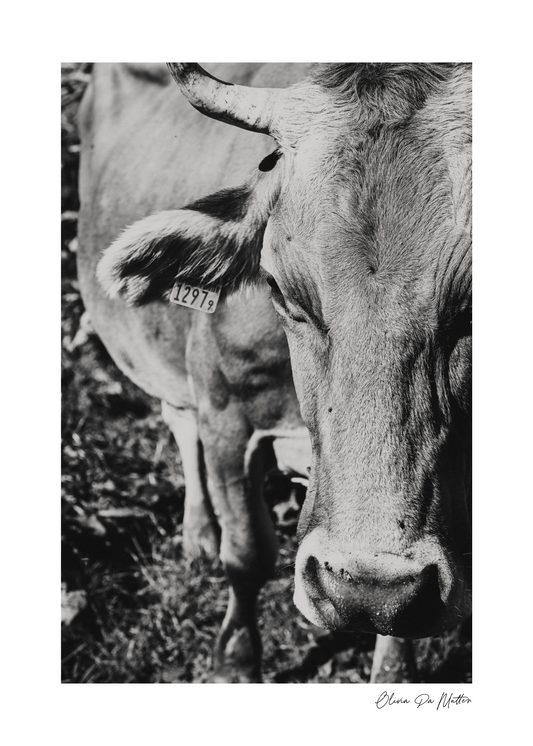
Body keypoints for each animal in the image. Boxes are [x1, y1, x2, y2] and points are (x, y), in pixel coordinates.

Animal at [78, 62, 472, 683]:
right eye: (278, 288)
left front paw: (394, 671)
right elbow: (247, 554)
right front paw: (236, 658)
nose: (367, 590)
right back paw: (198, 531)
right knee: (179, 422)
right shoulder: (227, 418)